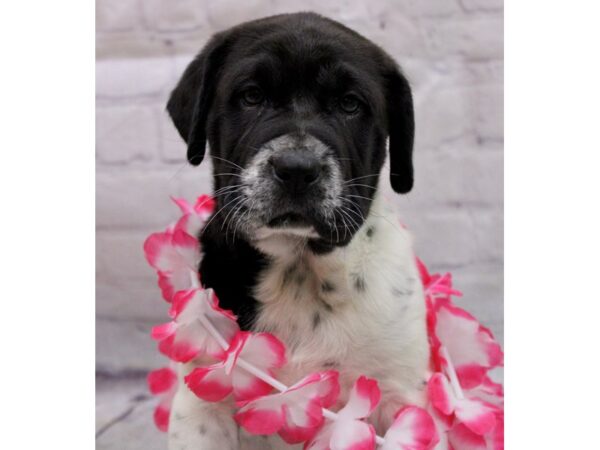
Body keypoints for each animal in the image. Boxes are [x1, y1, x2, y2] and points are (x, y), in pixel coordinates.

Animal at [164, 11, 426, 450]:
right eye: (251, 96)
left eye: (350, 104)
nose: (298, 169)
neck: (300, 271)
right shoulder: (201, 406)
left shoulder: (399, 396)